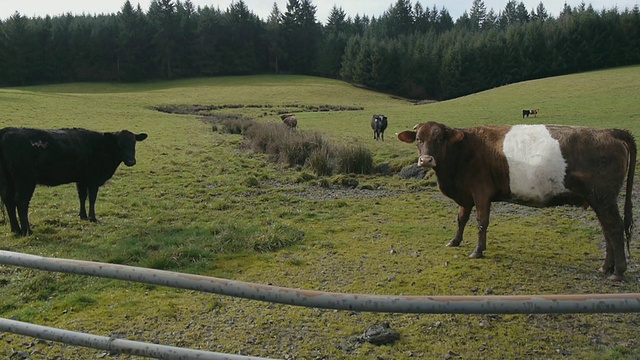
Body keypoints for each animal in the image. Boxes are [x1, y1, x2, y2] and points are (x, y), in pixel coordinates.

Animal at [0, 127, 148, 236]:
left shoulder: (81, 179)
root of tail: (7, 130)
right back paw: (27, 231)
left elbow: (82, 197)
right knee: (21, 202)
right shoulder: (93, 179)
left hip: (8, 180)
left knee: (9, 200)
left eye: (134, 143)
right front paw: (93, 218)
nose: (131, 161)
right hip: (25, 181)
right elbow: (92, 198)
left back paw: (16, 229)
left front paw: (83, 216)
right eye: (119, 144)